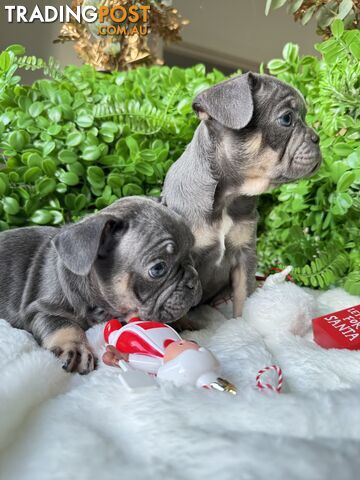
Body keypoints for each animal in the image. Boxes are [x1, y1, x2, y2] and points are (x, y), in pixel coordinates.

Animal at [0, 197, 202, 374]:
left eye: (192, 252)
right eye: (158, 268)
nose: (193, 280)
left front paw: (184, 320)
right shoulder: (39, 309)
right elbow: (62, 325)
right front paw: (76, 348)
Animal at [162, 71, 322, 316]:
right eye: (286, 119)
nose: (317, 138)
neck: (228, 196)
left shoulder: (243, 255)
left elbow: (243, 296)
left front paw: (242, 322)